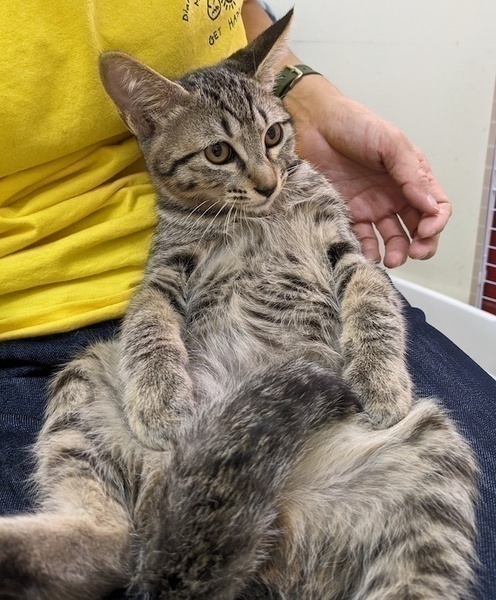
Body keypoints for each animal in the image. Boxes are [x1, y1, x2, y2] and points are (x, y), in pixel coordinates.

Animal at [0, 10, 477, 600]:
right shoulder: (165, 271)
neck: (257, 217)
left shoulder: (348, 251)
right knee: (111, 541)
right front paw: (160, 398)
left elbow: (373, 302)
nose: (268, 183)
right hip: (85, 378)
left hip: (430, 459)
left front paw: (380, 381)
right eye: (218, 152)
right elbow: (148, 323)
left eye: (273, 134)